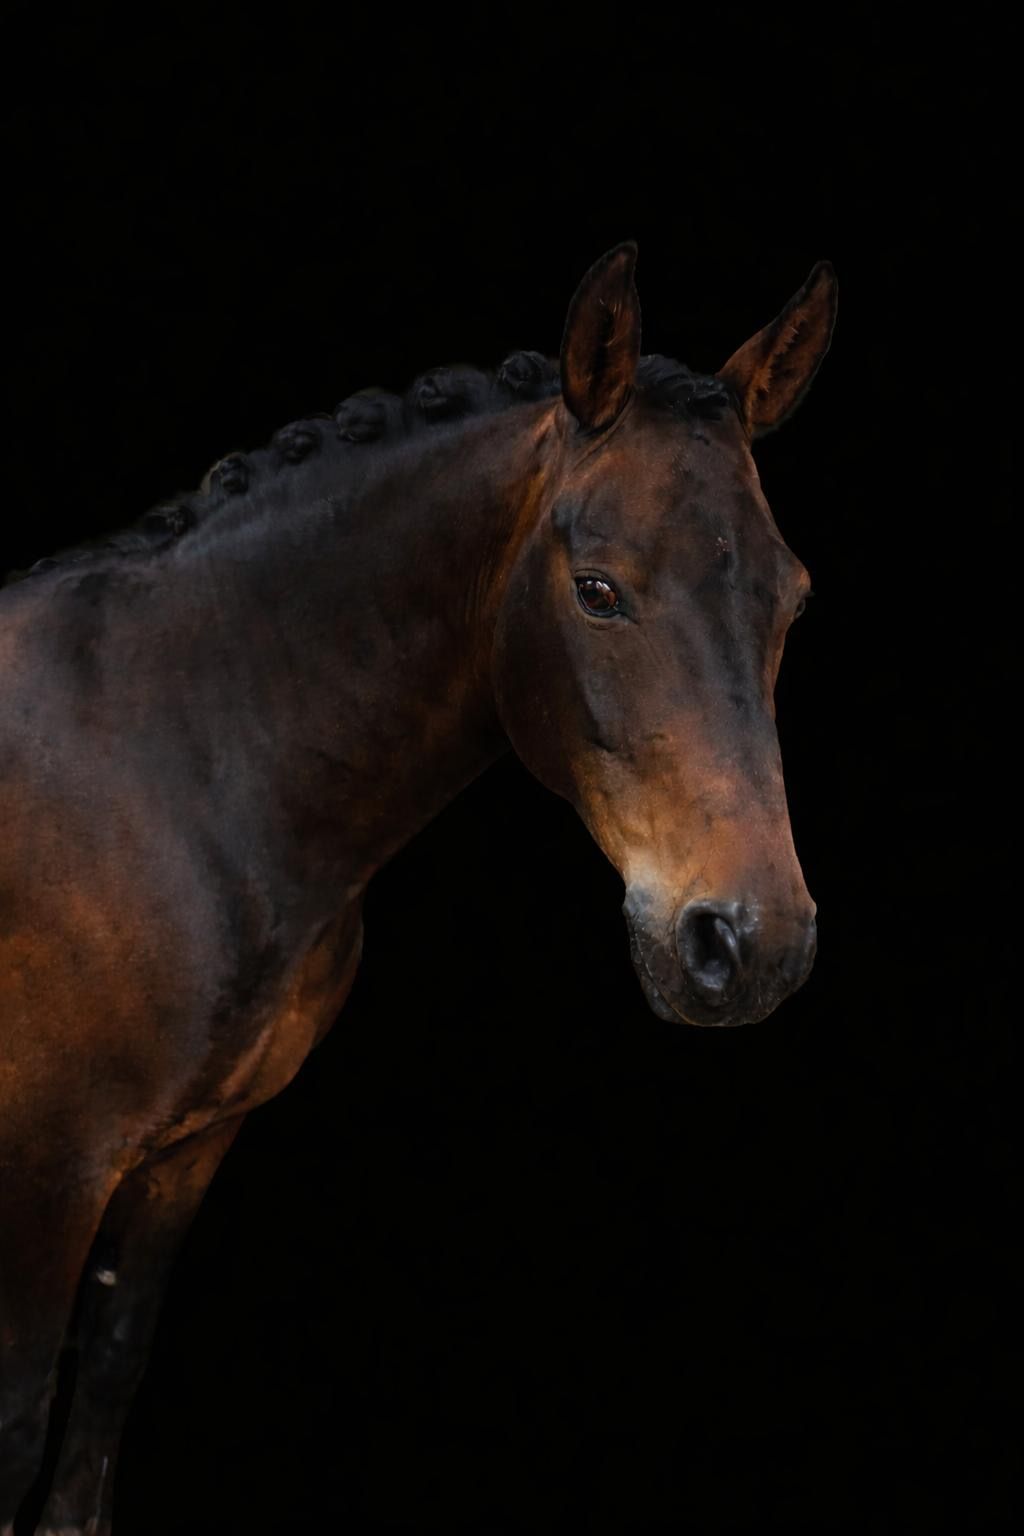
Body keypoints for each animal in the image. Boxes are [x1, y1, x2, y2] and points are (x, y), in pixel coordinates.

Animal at [0, 241, 836, 1534]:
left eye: (790, 598)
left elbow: (100, 1394)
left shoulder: (184, 1154)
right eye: (597, 589)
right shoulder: (51, 1171)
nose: (751, 944)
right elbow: (20, 1418)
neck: (176, 764)